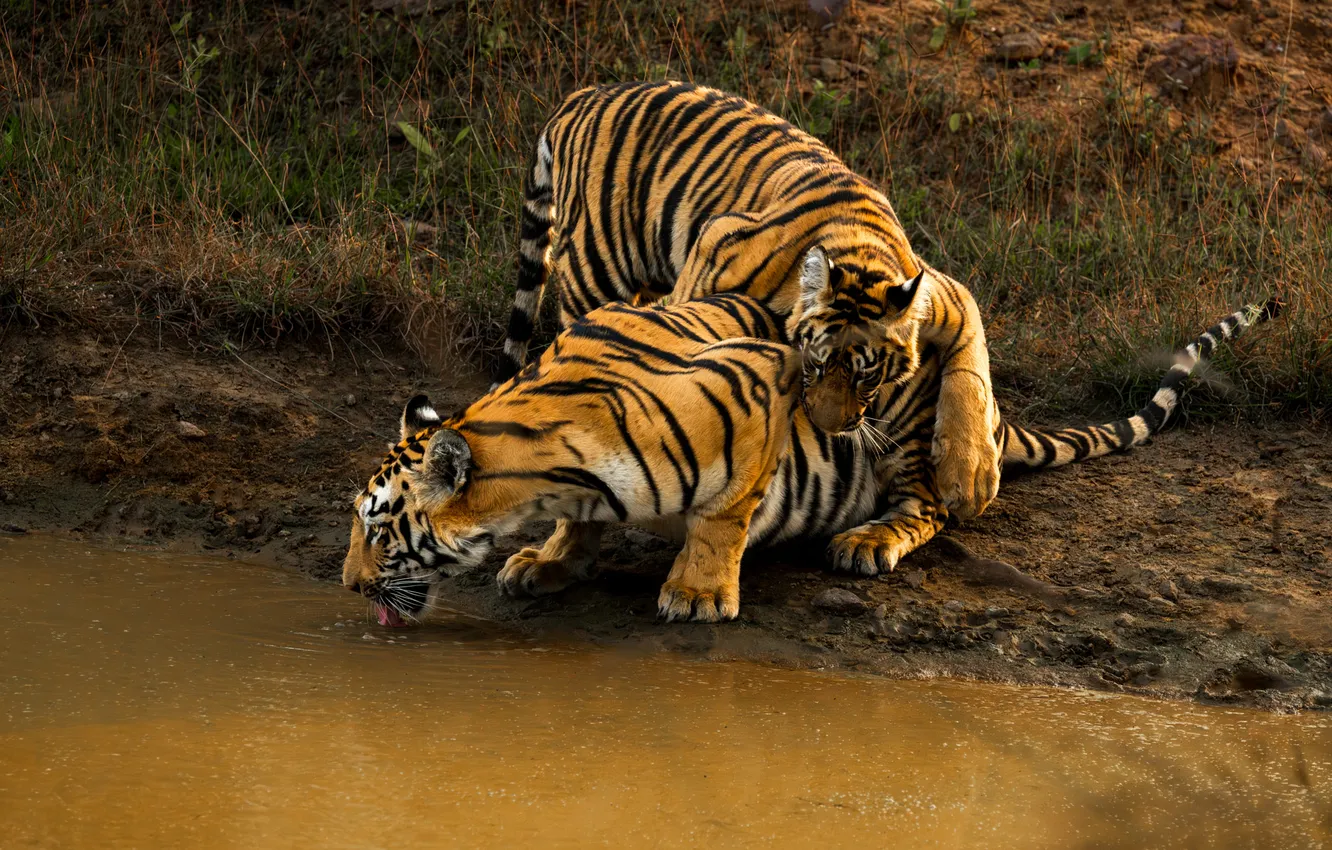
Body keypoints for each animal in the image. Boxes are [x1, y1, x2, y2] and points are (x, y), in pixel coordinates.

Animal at [343, 290, 1280, 624]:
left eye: (381, 532)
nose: (349, 586)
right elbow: (579, 527)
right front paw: (544, 562)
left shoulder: (755, 388)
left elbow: (723, 514)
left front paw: (696, 593)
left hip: (899, 410)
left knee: (931, 505)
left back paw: (869, 540)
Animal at [494, 80, 1001, 523]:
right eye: (814, 364)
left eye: (867, 377)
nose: (828, 428)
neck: (863, 251)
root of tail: (580, 97)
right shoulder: (713, 250)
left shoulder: (948, 295)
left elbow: (972, 365)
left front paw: (970, 476)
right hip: (595, 268)